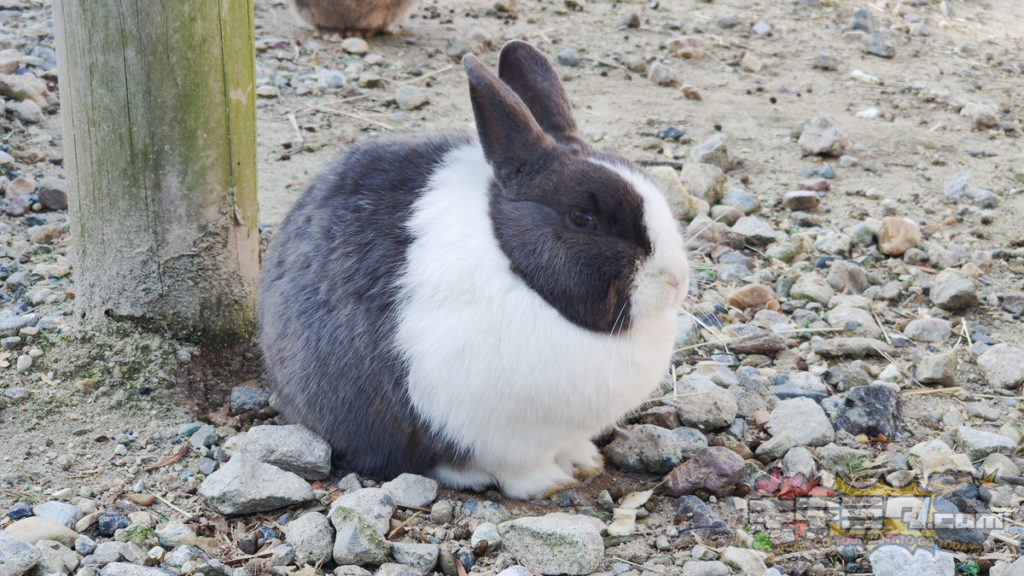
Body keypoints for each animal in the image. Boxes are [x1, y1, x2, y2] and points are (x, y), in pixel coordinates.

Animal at [258, 40, 688, 498]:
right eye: (582, 219)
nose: (676, 281)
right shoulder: (503, 438)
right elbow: (519, 468)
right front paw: (548, 484)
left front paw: (585, 462)